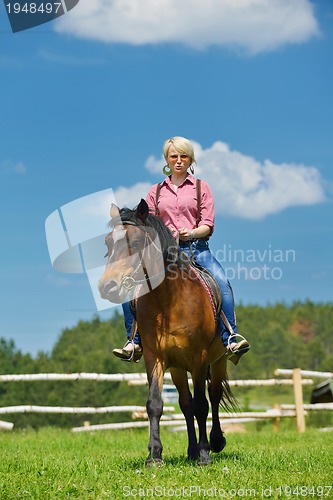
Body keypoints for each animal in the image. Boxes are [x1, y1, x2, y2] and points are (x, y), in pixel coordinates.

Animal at [97, 198, 235, 464]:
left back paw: (215, 442)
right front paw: (155, 455)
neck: (168, 300)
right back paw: (191, 450)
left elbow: (203, 404)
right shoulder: (155, 358)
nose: (107, 286)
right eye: (108, 243)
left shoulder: (200, 358)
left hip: (218, 359)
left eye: (136, 243)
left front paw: (205, 454)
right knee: (185, 403)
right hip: (178, 368)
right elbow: (155, 404)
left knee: (212, 396)